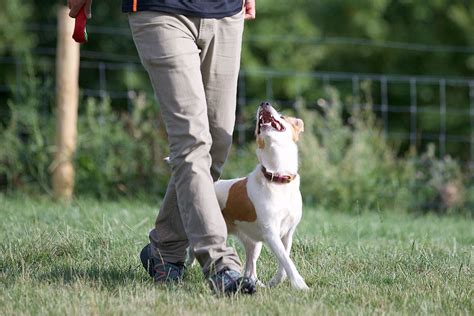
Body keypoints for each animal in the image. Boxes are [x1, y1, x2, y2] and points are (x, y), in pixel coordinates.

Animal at [187, 102, 310, 292]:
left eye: (282, 117)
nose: (264, 103)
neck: (277, 178)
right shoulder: (271, 233)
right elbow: (286, 260)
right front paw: (300, 285)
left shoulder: (287, 234)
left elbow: (284, 262)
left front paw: (275, 282)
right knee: (190, 250)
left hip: (254, 243)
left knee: (250, 269)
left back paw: (255, 283)